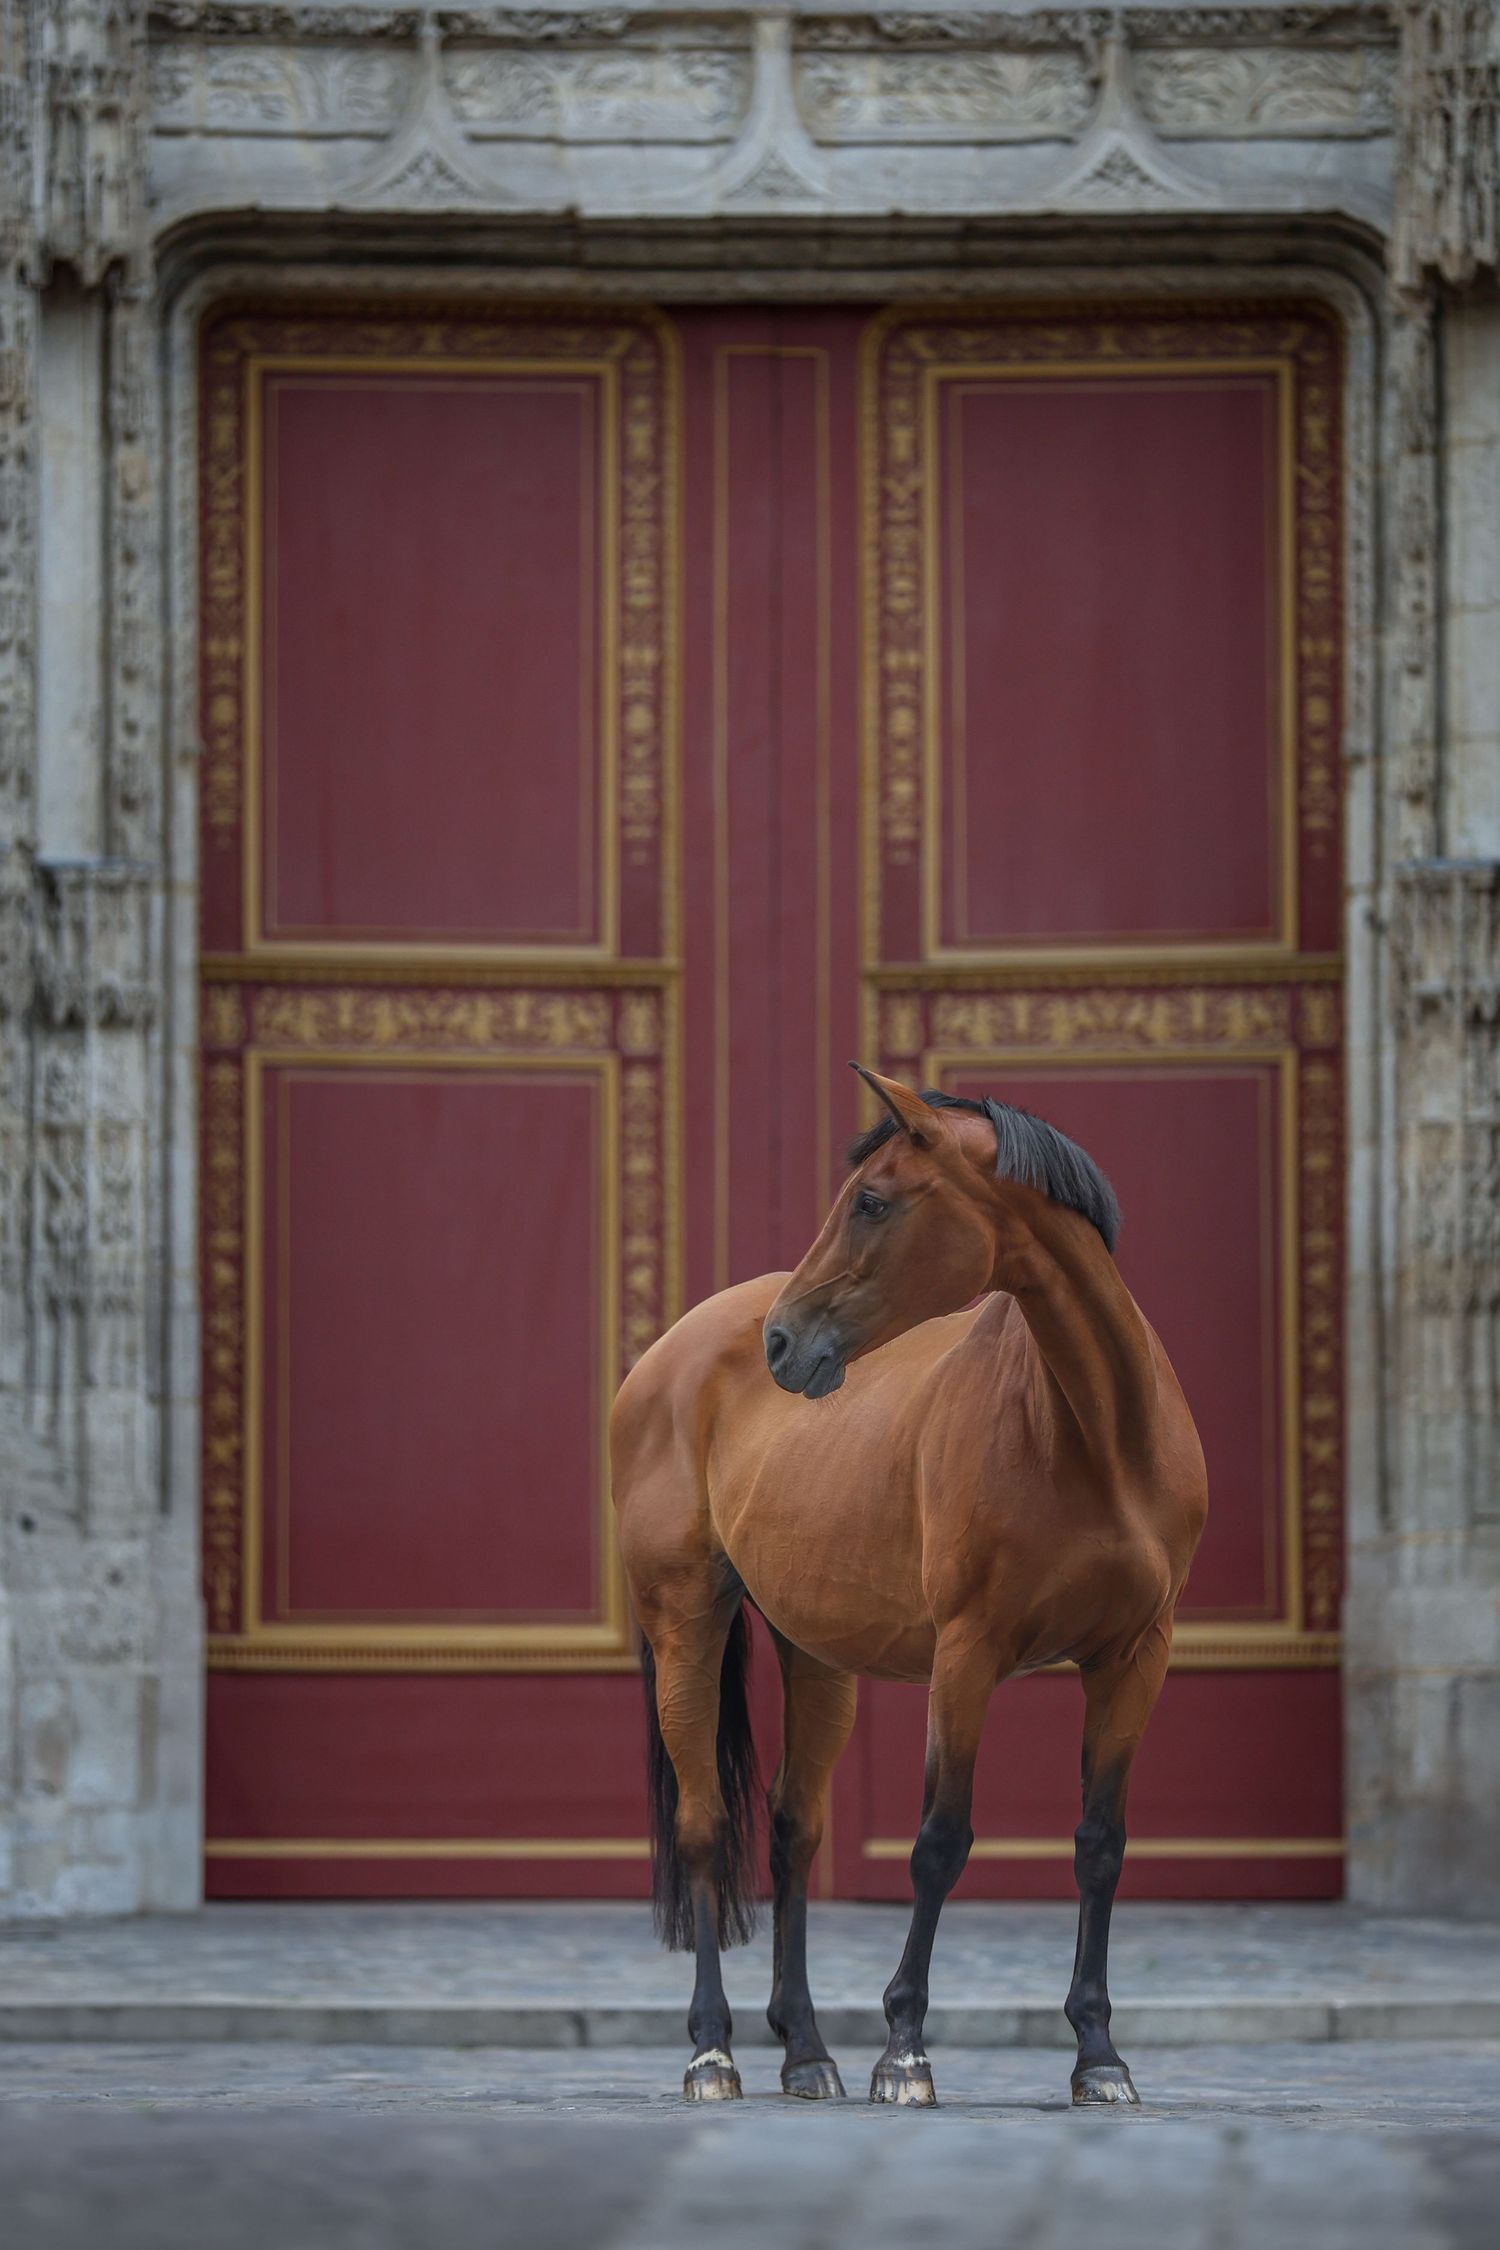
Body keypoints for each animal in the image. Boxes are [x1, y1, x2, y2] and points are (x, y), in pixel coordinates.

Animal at [611, 1064, 1207, 2108]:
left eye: (873, 1202)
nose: (781, 1343)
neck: (1099, 1443)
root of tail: (667, 1356)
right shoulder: (967, 1656)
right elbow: (938, 1842)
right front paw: (905, 2051)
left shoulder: (1135, 1658)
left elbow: (1100, 1843)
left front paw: (1099, 2054)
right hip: (686, 1624)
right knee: (703, 1826)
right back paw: (713, 2053)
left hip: (818, 1659)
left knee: (792, 1830)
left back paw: (807, 2052)